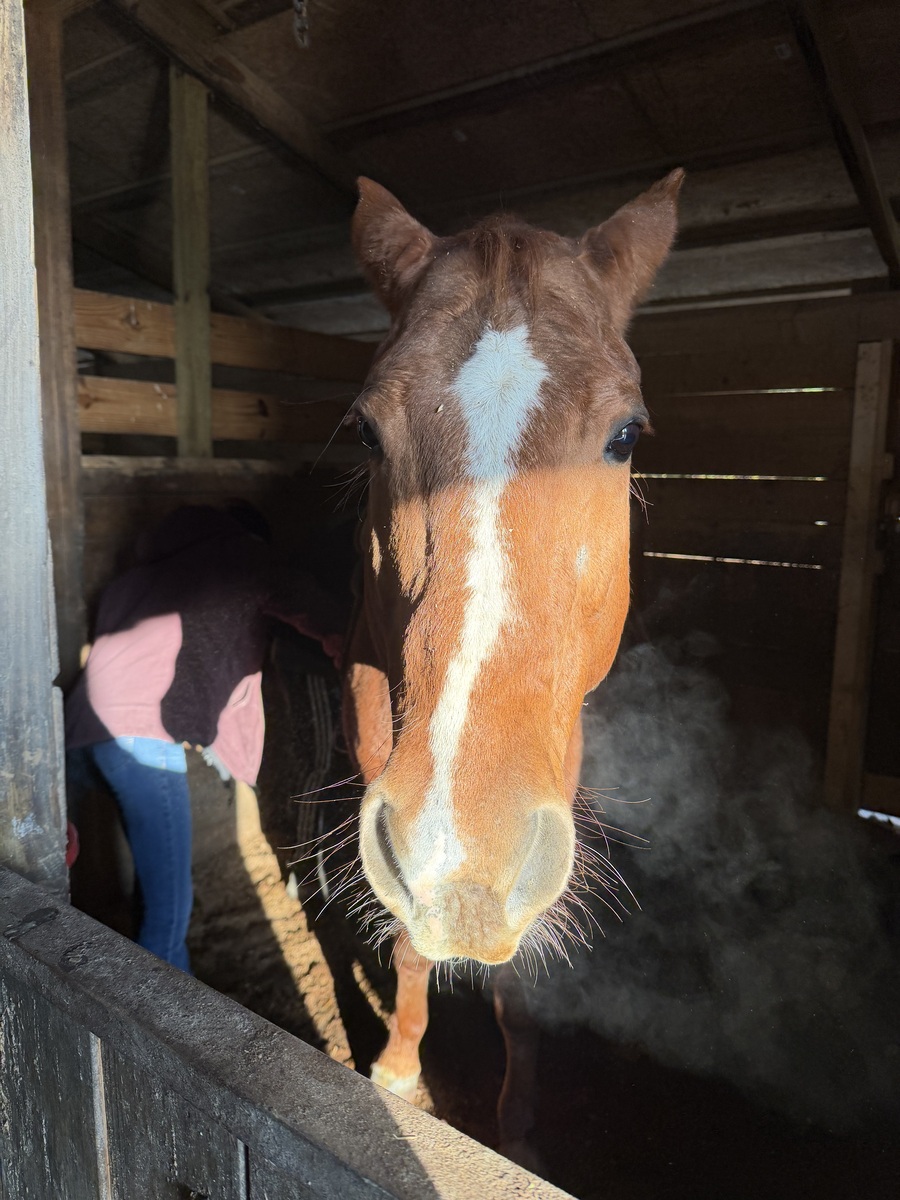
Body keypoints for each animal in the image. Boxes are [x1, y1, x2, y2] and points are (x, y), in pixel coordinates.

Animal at [340, 170, 683, 1142]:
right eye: (367, 433)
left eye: (626, 435)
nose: (464, 867)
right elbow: (410, 944)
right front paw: (398, 1071)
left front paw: (519, 1119)